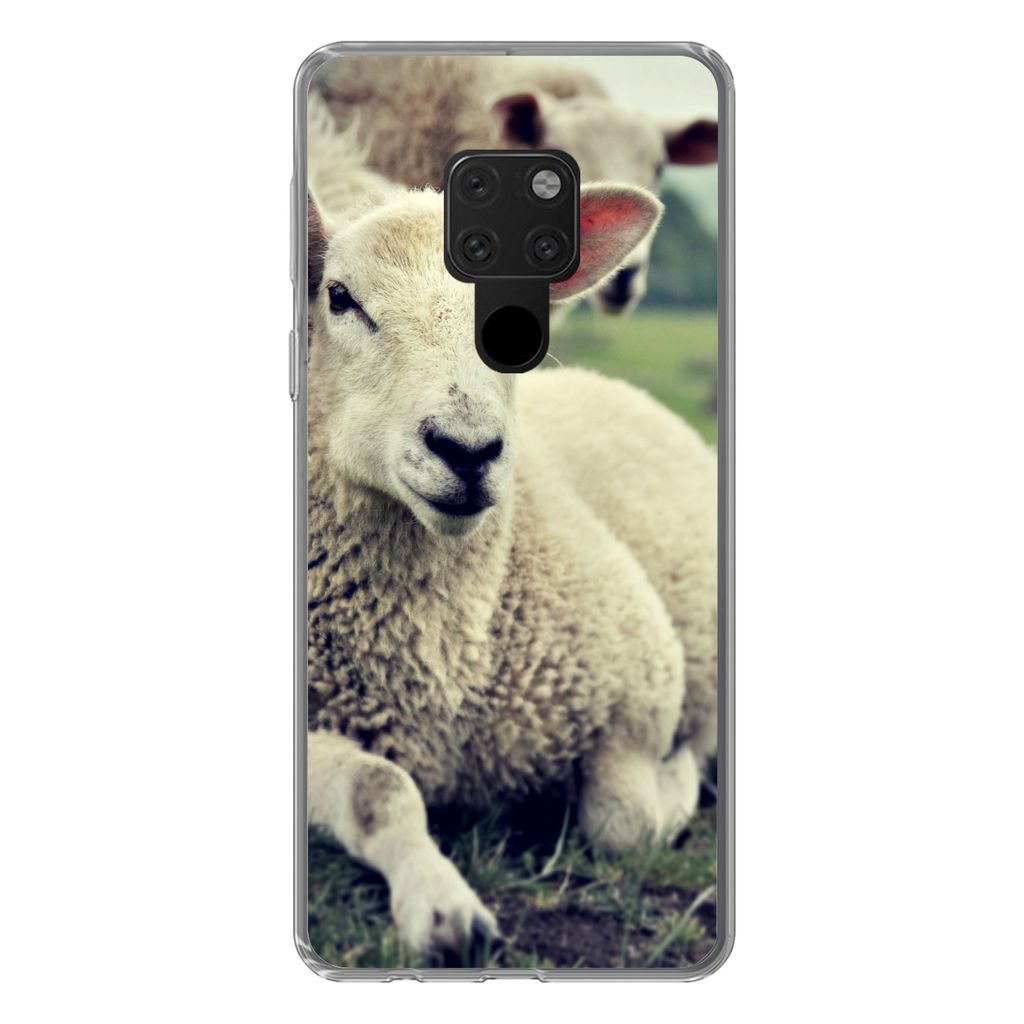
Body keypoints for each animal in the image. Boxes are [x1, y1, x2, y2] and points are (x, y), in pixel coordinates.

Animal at [304, 158, 718, 955]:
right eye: (339, 297)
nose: (468, 450)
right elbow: (379, 789)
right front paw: (443, 909)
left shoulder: (641, 693)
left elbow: (627, 824)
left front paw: (683, 775)